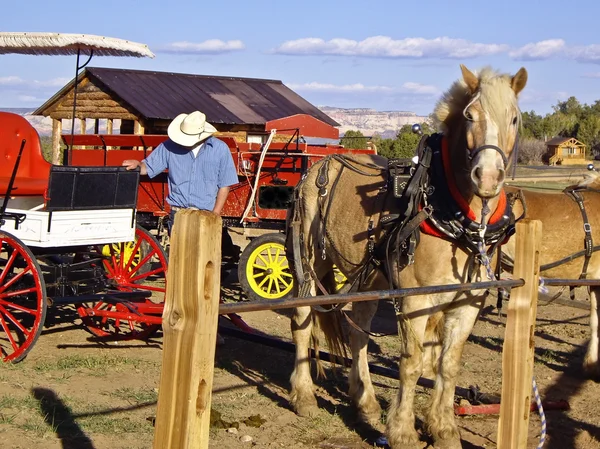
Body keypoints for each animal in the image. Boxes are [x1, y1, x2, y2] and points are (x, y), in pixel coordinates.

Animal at [288, 64, 528, 448]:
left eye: (515, 118)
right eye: (470, 115)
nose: (488, 176)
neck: (450, 212)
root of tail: (314, 168)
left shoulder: (468, 303)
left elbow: (448, 363)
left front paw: (444, 429)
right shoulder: (415, 300)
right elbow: (412, 362)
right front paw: (402, 431)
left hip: (369, 276)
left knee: (358, 331)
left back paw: (366, 403)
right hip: (311, 261)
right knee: (303, 318)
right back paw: (304, 396)